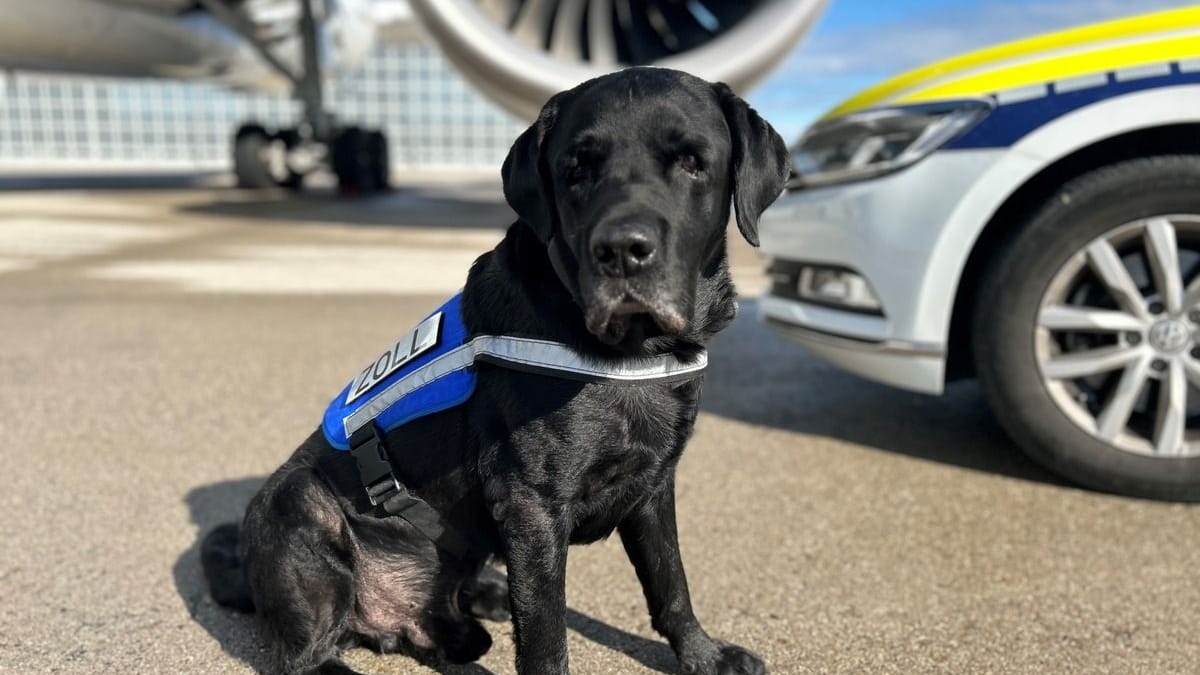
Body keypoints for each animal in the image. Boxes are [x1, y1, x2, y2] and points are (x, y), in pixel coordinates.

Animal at [201, 66, 792, 672]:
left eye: (693, 161)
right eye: (575, 169)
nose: (622, 250)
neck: (632, 352)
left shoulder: (653, 486)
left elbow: (671, 582)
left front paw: (705, 655)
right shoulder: (532, 505)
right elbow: (547, 636)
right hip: (301, 502)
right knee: (305, 656)